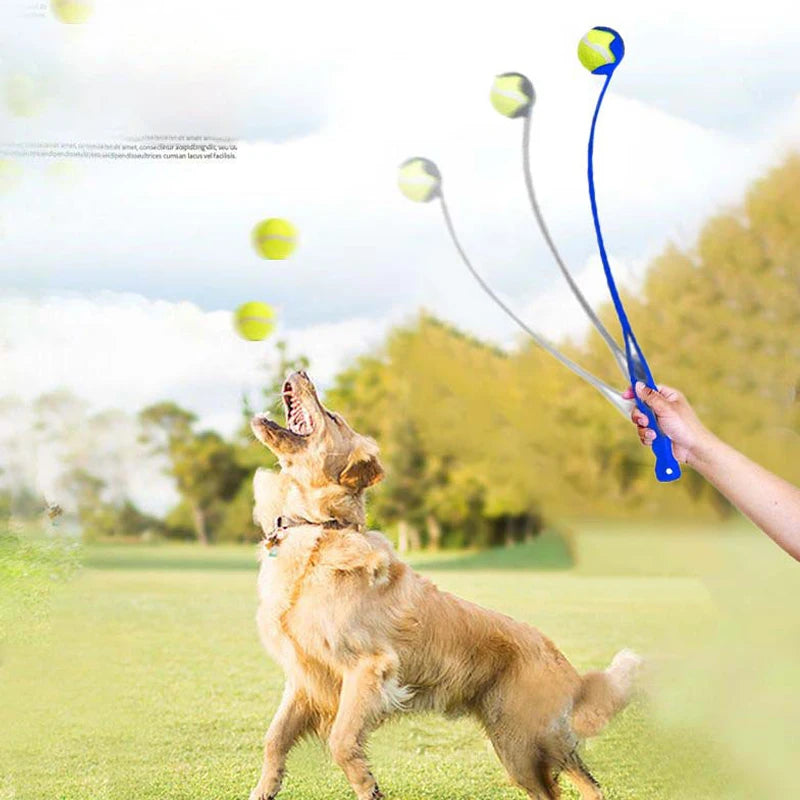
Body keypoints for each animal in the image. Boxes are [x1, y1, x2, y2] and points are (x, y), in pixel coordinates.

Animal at [247, 372, 640, 800]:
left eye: (332, 416)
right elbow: (273, 739)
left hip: (534, 736)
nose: (300, 373)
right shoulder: (304, 678)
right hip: (515, 749)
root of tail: (565, 663)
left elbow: (341, 741)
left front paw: (368, 785)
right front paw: (264, 789)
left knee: (589, 783)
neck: (319, 529)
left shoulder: (369, 668)